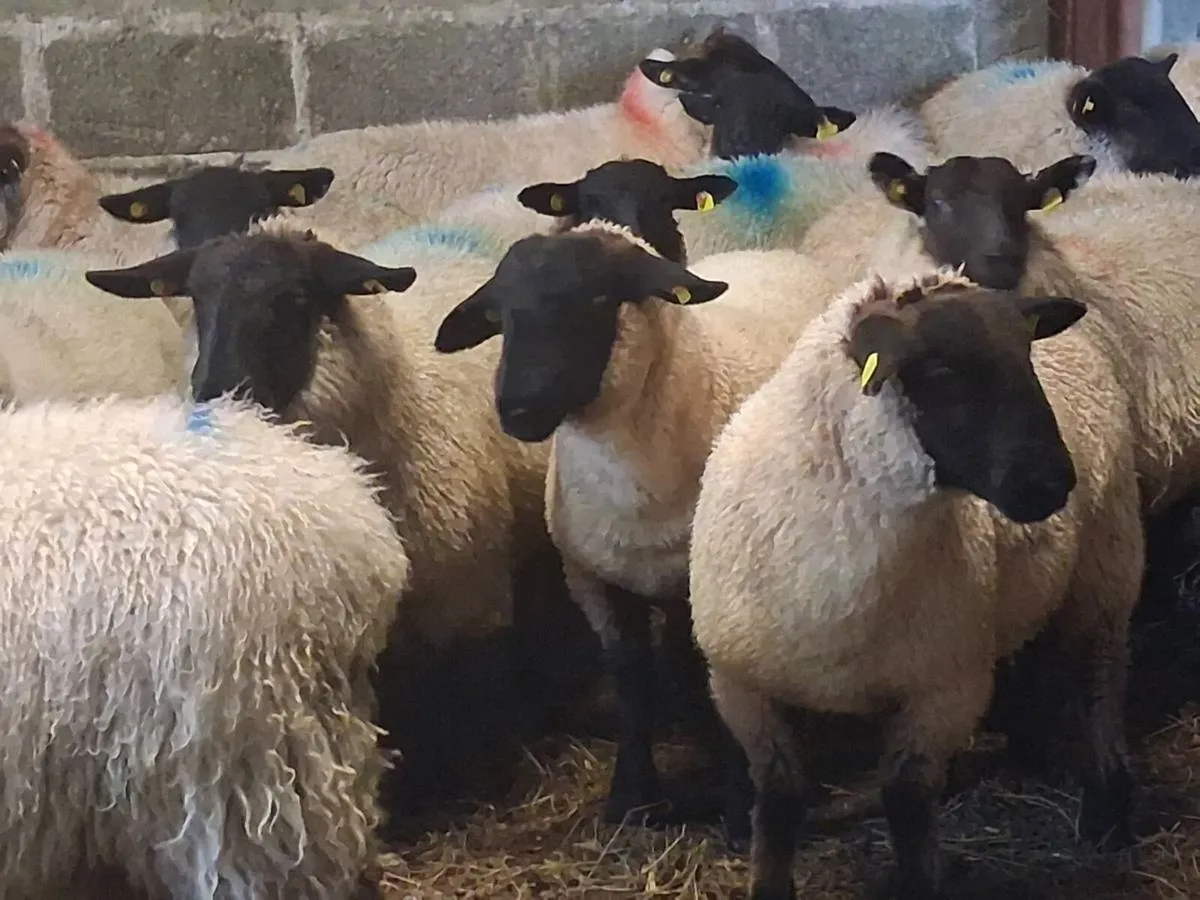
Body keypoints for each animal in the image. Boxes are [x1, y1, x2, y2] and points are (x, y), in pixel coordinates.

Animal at [432, 215, 843, 848]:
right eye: (500, 315)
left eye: (598, 298)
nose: (518, 409)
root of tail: (775, 254)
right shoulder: (593, 578)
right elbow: (630, 680)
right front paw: (632, 796)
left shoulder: (707, 592)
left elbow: (712, 688)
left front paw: (738, 807)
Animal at [688, 269, 1140, 899]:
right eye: (943, 371)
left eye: (1025, 353)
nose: (1052, 483)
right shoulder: (740, 685)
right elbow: (778, 799)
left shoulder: (943, 690)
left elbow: (907, 803)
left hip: (1107, 568)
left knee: (1098, 683)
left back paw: (1106, 810)